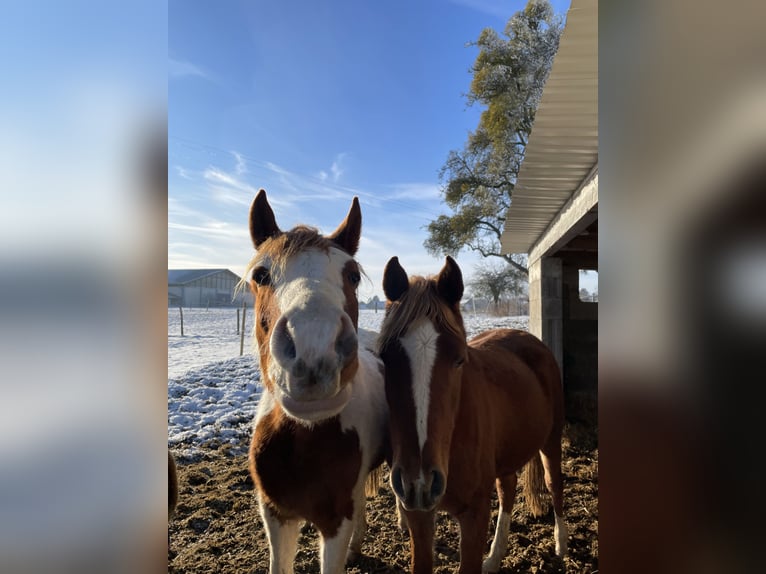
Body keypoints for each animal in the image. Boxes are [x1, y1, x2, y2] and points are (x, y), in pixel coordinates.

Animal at [380, 258, 568, 574]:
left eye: (459, 359)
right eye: (384, 359)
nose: (420, 481)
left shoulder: (474, 515)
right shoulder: (417, 514)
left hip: (551, 442)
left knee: (554, 484)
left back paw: (561, 545)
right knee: (507, 489)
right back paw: (494, 557)